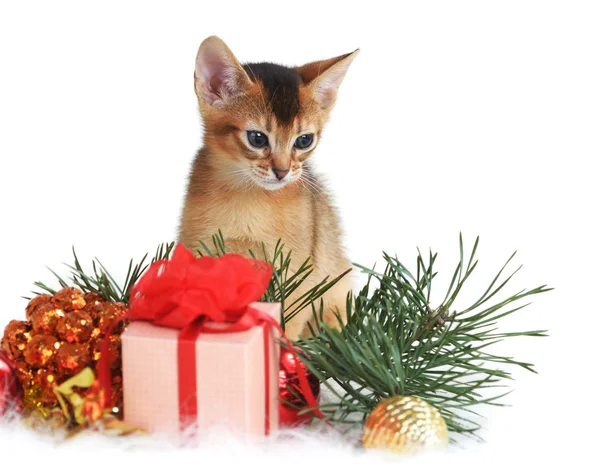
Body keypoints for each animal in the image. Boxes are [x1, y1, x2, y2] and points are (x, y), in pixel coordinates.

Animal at [177, 35, 356, 336]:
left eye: (304, 140)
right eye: (257, 138)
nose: (282, 171)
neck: (251, 199)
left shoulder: (297, 275)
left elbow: (288, 322)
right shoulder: (201, 249)